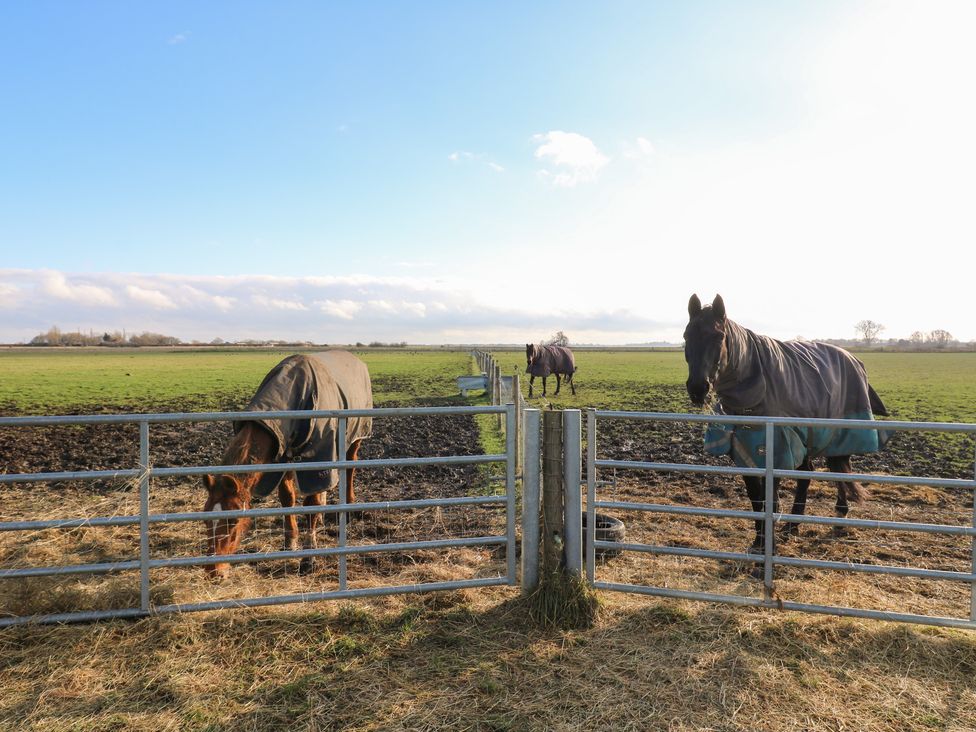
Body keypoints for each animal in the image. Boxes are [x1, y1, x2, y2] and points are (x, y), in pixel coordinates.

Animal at [202, 350, 373, 578]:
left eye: (234, 521)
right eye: (205, 518)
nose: (213, 571)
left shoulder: (318, 455)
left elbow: (310, 505)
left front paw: (309, 559)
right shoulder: (282, 458)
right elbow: (287, 498)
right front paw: (290, 540)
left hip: (355, 438)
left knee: (350, 469)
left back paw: (350, 505)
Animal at [683, 294, 888, 552]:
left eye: (719, 336)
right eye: (686, 336)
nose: (698, 388)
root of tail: (852, 358)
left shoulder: (778, 448)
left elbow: (769, 499)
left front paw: (767, 543)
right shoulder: (744, 450)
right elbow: (756, 497)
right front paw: (758, 542)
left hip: (838, 437)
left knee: (840, 472)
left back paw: (839, 519)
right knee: (807, 475)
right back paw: (793, 525)